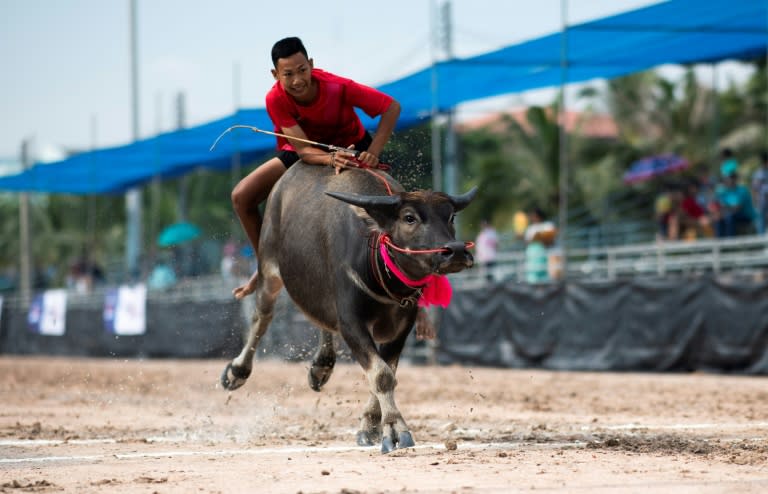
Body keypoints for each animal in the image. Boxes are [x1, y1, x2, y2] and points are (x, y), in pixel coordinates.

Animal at [219, 160, 476, 454]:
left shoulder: (402, 327)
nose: (456, 251)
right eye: (409, 217)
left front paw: (371, 426)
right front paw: (395, 430)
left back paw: (321, 366)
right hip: (269, 268)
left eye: (451, 217)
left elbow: (387, 372)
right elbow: (382, 375)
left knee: (320, 319)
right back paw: (237, 371)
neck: (379, 268)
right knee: (262, 316)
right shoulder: (352, 323)